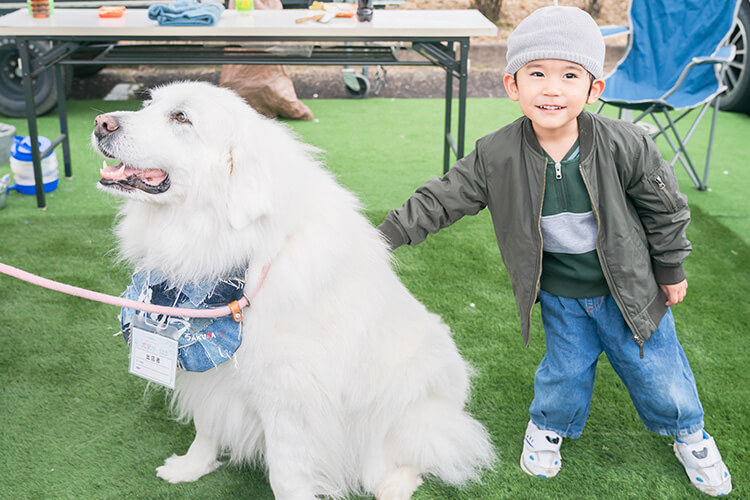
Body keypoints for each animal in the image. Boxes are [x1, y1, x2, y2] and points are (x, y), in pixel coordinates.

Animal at [92, 80, 494, 498]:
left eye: (181, 117)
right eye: (149, 105)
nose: (101, 123)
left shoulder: (288, 402)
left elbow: (285, 475)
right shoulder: (210, 374)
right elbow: (207, 426)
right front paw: (191, 467)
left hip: (402, 407)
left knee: (418, 454)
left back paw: (393, 485)